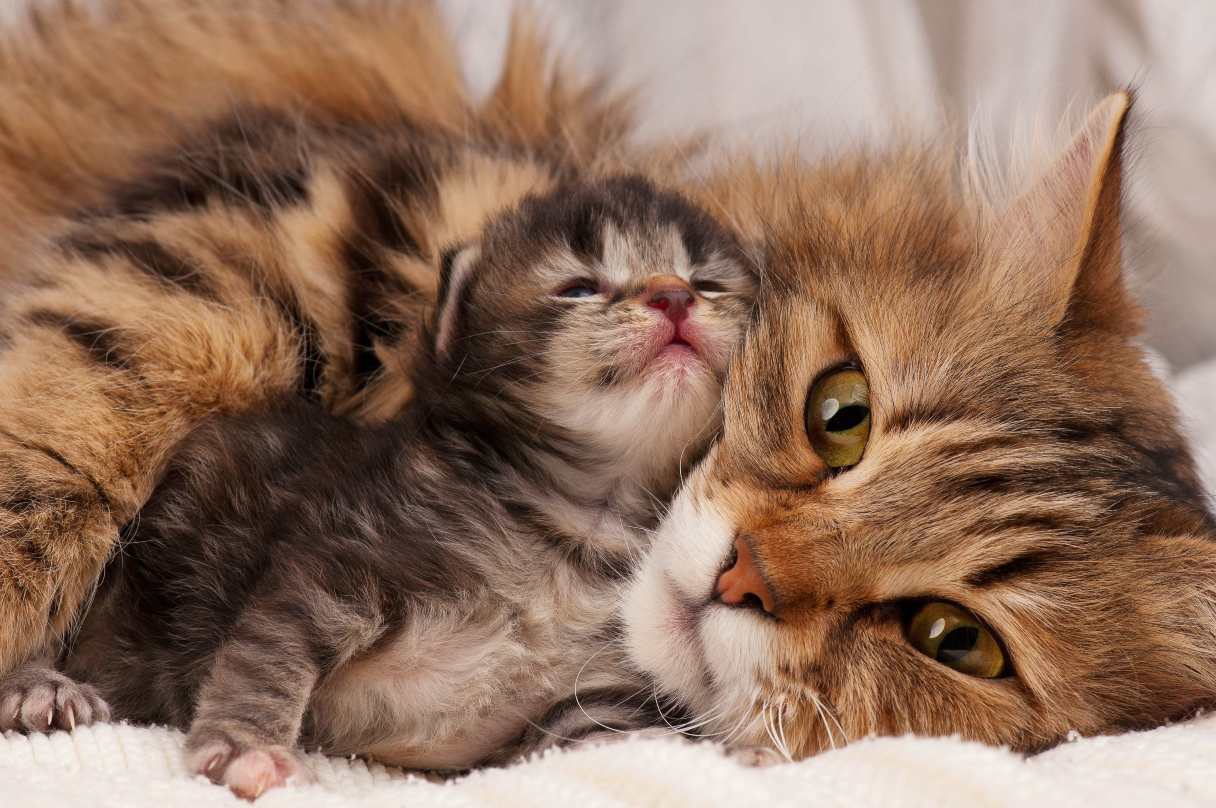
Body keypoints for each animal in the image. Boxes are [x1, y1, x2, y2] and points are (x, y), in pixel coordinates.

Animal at [0, 174, 753, 798]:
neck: (583, 517)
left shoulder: (584, 690)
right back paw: (41, 688)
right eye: (578, 287)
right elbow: (269, 652)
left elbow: (599, 734)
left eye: (709, 283)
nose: (673, 296)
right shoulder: (345, 566)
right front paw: (246, 745)